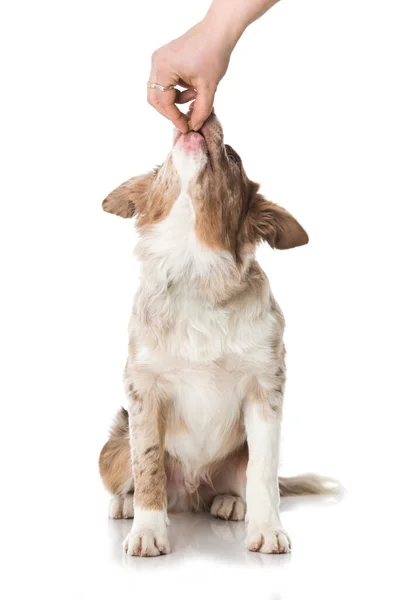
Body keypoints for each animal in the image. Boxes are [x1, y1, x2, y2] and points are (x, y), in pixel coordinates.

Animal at [99, 111, 328, 556]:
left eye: (233, 158)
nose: (207, 117)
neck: (195, 271)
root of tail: (190, 494)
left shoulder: (265, 387)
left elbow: (263, 471)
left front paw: (267, 530)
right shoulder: (143, 389)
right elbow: (148, 462)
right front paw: (147, 531)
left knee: (243, 482)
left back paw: (230, 502)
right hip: (113, 449)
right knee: (134, 475)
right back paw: (126, 504)